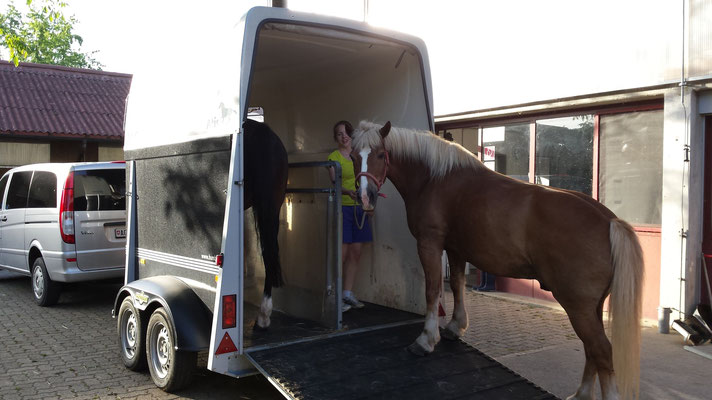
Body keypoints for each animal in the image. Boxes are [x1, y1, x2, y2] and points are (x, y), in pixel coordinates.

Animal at [350, 120, 644, 400]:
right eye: (353, 155)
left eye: (380, 154)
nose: (365, 197)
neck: (434, 179)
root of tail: (609, 220)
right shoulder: (455, 249)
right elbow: (456, 285)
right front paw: (455, 327)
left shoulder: (430, 244)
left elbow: (432, 290)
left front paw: (426, 340)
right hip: (590, 307)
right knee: (592, 351)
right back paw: (581, 393)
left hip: (577, 305)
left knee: (601, 350)